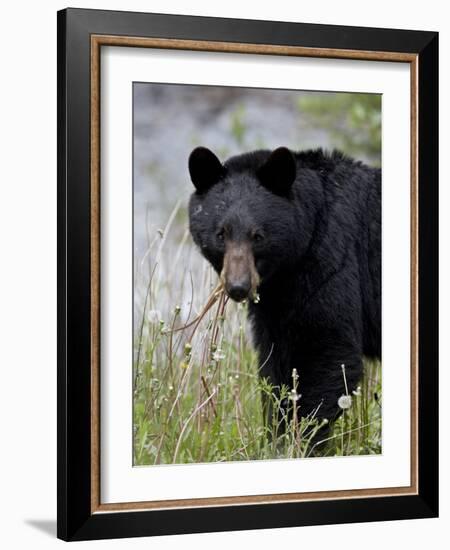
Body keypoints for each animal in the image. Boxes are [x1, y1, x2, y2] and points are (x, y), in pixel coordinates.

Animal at [186, 148, 380, 432]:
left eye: (258, 236)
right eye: (221, 233)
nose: (238, 287)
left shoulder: (332, 264)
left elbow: (328, 352)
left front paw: (301, 435)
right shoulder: (276, 301)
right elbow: (276, 364)